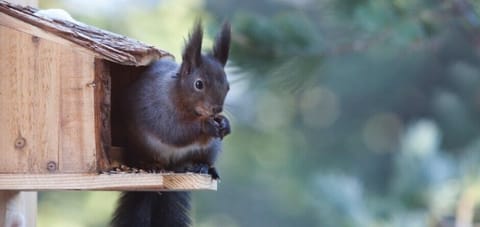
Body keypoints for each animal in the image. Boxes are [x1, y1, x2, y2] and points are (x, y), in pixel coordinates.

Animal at [112, 21, 232, 227]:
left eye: (228, 86)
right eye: (198, 84)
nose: (217, 109)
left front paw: (225, 123)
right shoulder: (159, 110)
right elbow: (175, 132)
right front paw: (206, 126)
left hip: (210, 150)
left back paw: (203, 167)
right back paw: (151, 165)